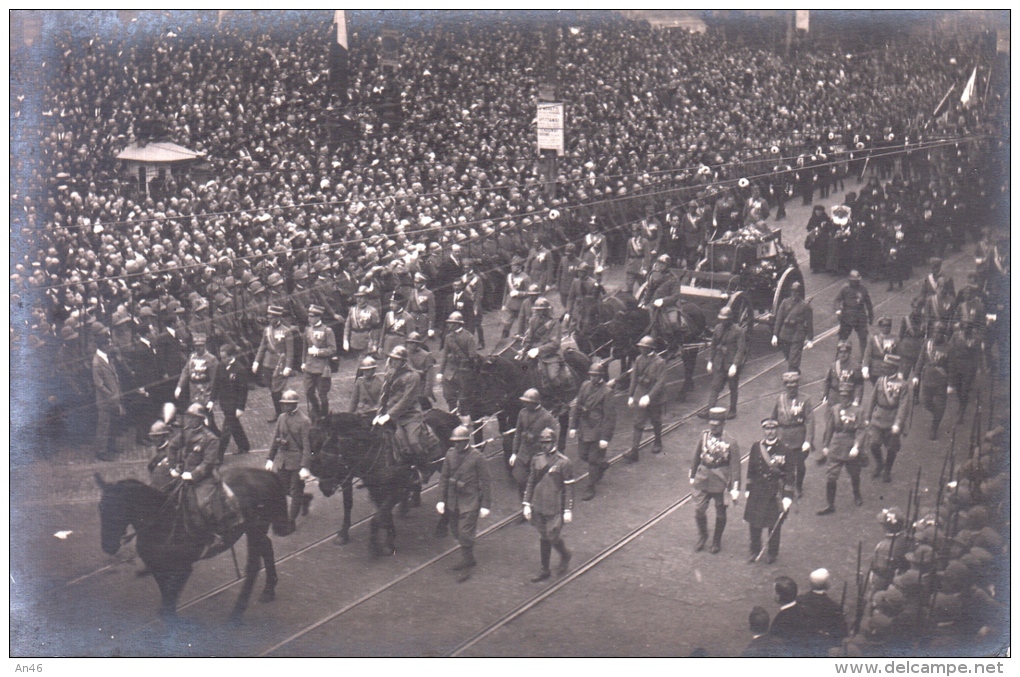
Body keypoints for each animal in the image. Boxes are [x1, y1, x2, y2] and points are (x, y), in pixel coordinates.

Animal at [95, 469, 291, 619]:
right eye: (101, 508)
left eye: (118, 509)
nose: (108, 546)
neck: (163, 521)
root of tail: (264, 473)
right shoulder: (157, 568)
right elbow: (166, 595)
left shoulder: (184, 569)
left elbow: (171, 598)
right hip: (256, 531)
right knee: (267, 548)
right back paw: (268, 590)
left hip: (255, 529)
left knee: (253, 565)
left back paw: (238, 611)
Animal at [306, 407, 459, 554]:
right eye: (311, 441)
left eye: (332, 458)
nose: (324, 488)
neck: (375, 453)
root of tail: (450, 416)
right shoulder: (371, 488)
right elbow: (379, 514)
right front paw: (388, 540)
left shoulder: (395, 491)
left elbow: (377, 518)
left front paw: (376, 546)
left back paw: (441, 527)